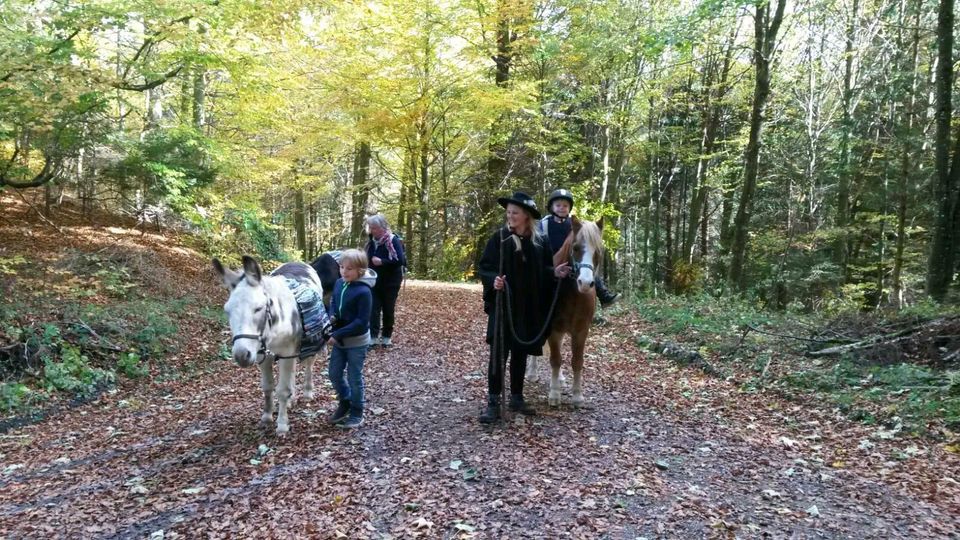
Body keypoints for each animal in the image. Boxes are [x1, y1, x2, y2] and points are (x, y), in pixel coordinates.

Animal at [544, 217, 604, 408]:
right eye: (576, 248)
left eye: (598, 250)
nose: (585, 283)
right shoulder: (553, 329)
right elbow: (555, 359)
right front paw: (554, 394)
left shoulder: (581, 331)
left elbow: (577, 362)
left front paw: (577, 396)